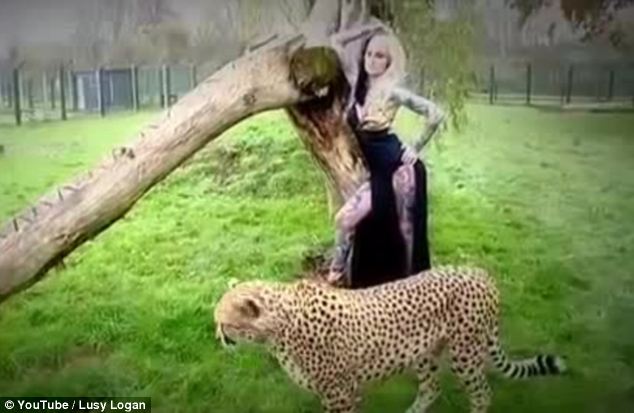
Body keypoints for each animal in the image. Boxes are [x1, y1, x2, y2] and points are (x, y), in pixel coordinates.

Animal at [212, 266, 564, 410]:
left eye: (224, 324)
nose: (219, 339)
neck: (280, 325)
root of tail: (480, 273)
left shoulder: (337, 394)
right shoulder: (346, 391)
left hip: (465, 354)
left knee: (482, 394)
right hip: (424, 352)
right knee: (432, 389)